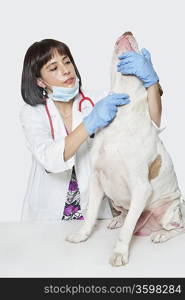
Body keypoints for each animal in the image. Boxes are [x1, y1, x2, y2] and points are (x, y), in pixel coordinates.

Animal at [66, 32, 184, 268]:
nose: (128, 31)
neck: (122, 112)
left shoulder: (141, 188)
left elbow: (128, 229)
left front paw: (120, 253)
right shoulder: (97, 180)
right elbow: (90, 215)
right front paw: (82, 235)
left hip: (170, 211)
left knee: (178, 228)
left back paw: (161, 234)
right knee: (126, 214)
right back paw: (117, 219)